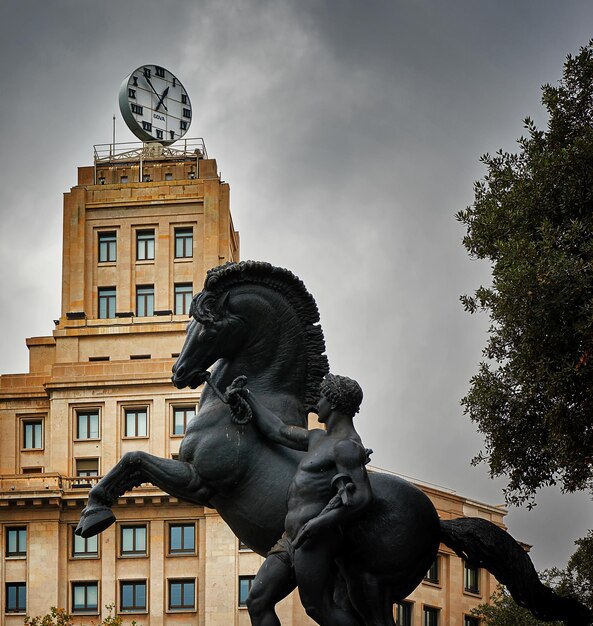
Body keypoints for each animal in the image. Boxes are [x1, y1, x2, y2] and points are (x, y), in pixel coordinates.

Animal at [77, 260, 588, 624]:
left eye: (208, 324)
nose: (179, 372)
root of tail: (439, 523)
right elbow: (132, 461)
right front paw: (92, 511)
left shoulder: (201, 481)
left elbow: (133, 459)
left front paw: (93, 514)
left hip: (370, 584)